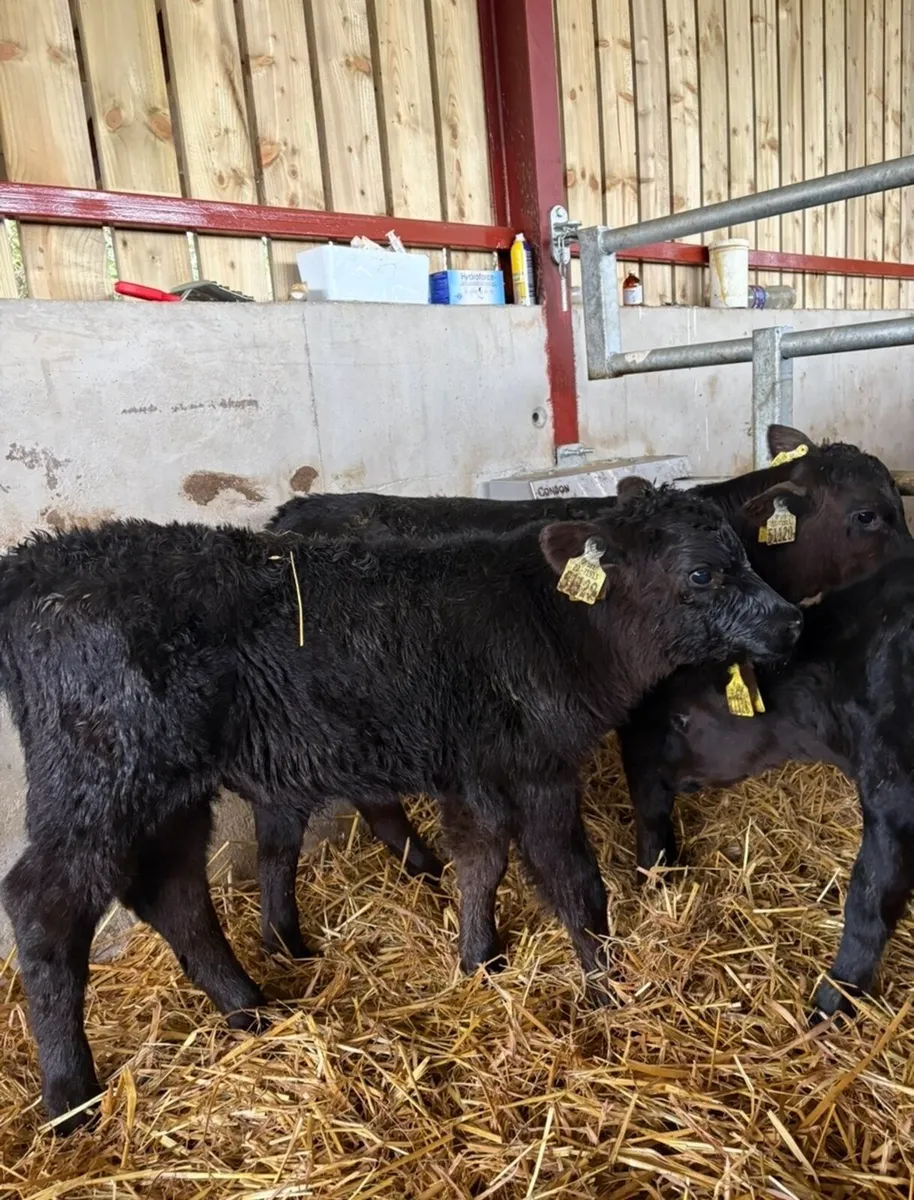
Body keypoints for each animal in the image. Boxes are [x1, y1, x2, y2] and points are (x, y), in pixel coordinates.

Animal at [0, 482, 800, 1130]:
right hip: (98, 778)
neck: (556, 625)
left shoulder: (475, 766)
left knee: (175, 892)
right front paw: (607, 987)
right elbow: (574, 881)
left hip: (169, 792)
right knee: (45, 904)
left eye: (748, 553)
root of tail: (35, 564)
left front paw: (480, 959)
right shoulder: (537, 767)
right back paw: (71, 1097)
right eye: (700, 572)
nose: (790, 620)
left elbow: (481, 859)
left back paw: (249, 1008)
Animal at [255, 425, 908, 958]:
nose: (910, 562)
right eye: (868, 515)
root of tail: (291, 513)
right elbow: (647, 799)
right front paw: (656, 874)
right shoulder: (641, 715)